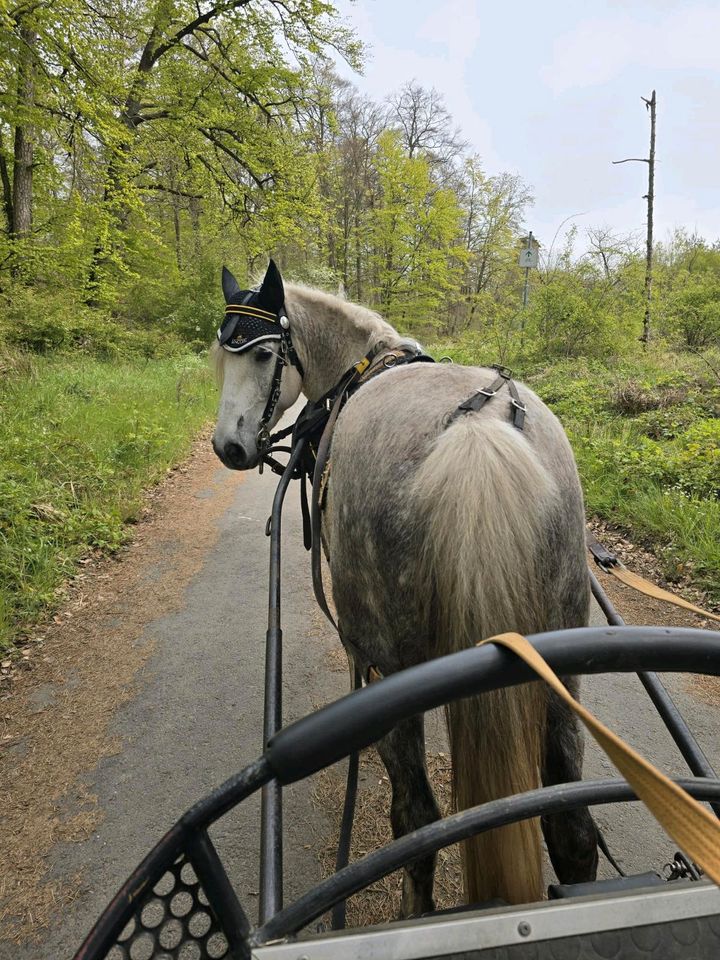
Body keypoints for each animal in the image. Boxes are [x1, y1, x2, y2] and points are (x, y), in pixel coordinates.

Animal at [211, 260, 600, 916]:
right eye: (221, 355)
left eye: (263, 355)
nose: (227, 447)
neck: (365, 360)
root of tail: (477, 432)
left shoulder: (365, 650)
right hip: (560, 664)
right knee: (571, 831)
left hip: (388, 659)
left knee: (416, 818)